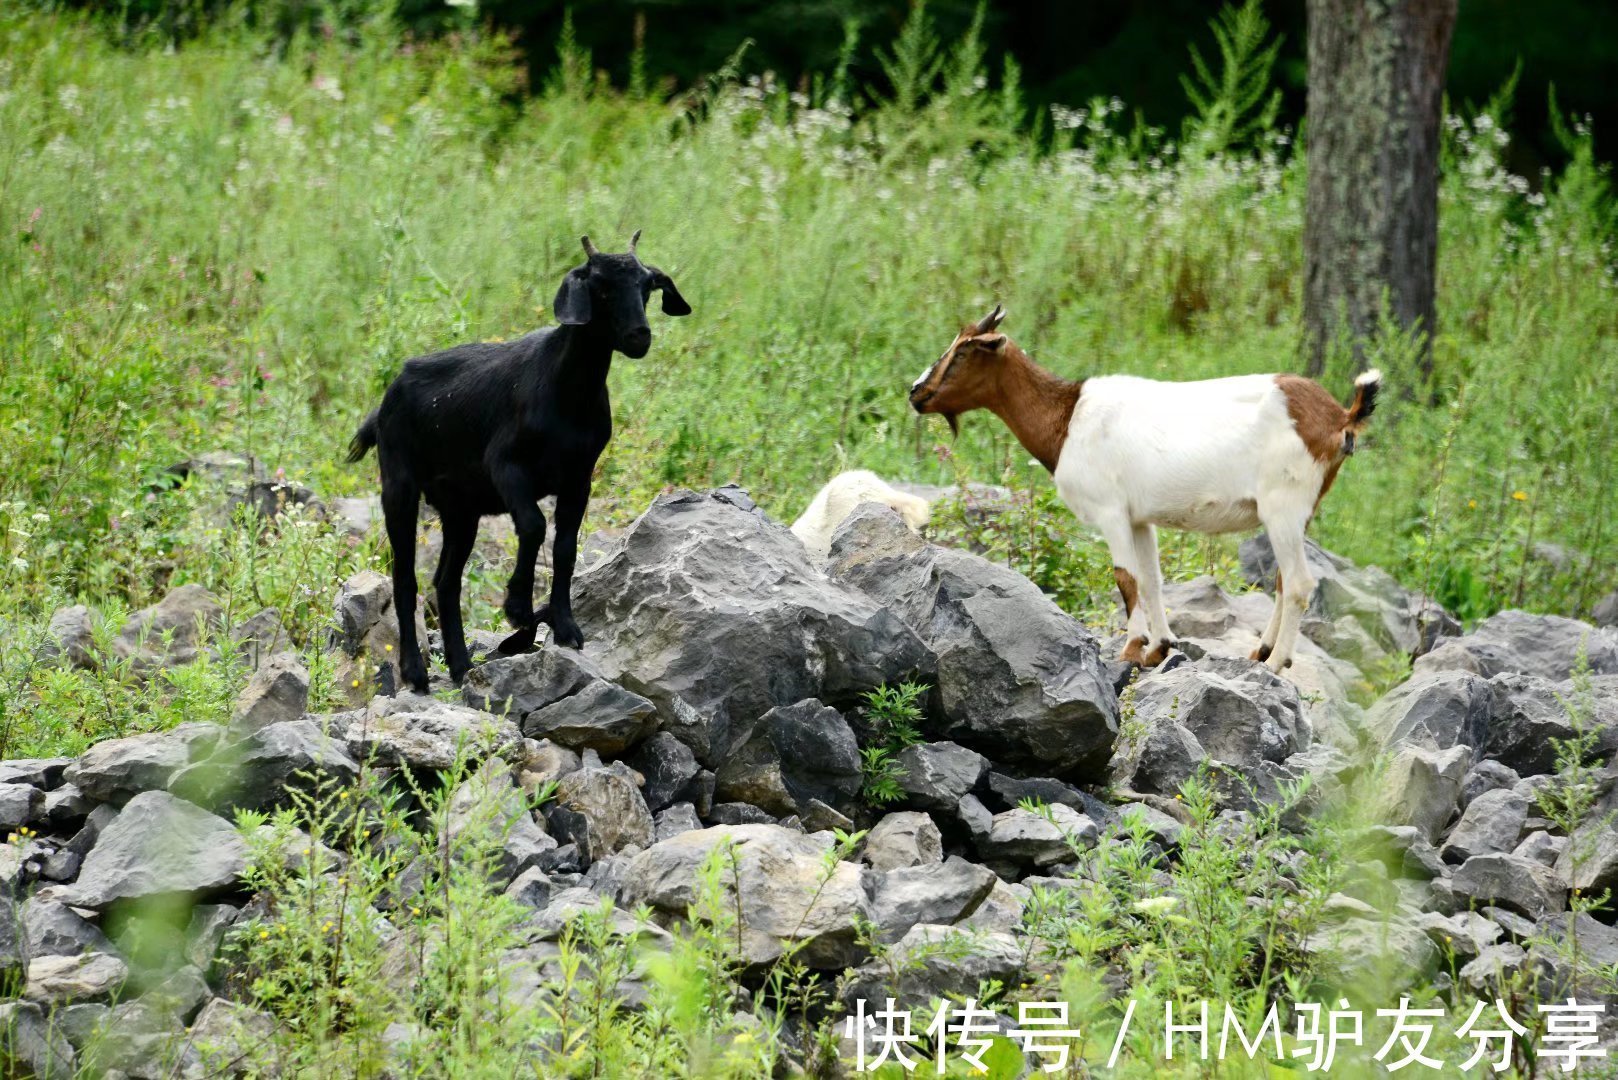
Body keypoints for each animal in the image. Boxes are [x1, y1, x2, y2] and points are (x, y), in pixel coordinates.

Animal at [347, 233, 689, 696]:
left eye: (648, 287)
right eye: (599, 286)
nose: (639, 336)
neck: (568, 393)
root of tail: (385, 401)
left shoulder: (579, 477)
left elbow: (565, 547)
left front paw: (563, 625)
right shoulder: (506, 465)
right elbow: (533, 526)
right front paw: (518, 609)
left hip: (461, 509)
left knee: (446, 582)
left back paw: (461, 665)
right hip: (398, 484)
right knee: (406, 577)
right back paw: (416, 671)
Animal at [912, 306, 1378, 676]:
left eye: (963, 352)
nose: (916, 392)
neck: (1068, 420)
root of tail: (1339, 416)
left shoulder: (1110, 511)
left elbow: (1125, 578)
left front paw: (1131, 649)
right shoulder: (1139, 519)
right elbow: (1151, 579)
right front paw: (1159, 648)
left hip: (1284, 503)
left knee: (1298, 582)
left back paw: (1277, 662)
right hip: (1300, 510)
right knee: (1283, 579)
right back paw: (1260, 651)